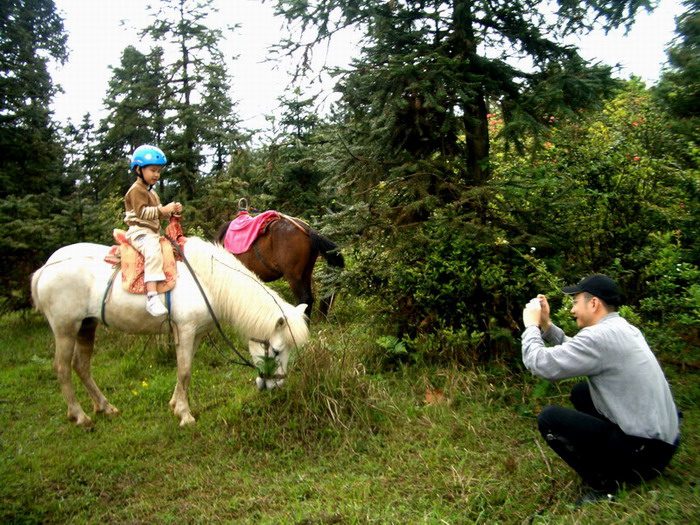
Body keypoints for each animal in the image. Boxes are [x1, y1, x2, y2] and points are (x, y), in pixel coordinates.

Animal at [30, 236, 308, 426]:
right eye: (276, 350)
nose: (276, 385)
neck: (208, 282)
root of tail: (46, 267)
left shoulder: (195, 334)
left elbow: (184, 370)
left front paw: (175, 404)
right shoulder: (185, 330)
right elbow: (184, 371)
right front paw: (185, 415)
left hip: (87, 325)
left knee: (81, 366)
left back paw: (105, 407)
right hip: (66, 329)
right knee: (63, 369)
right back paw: (80, 416)